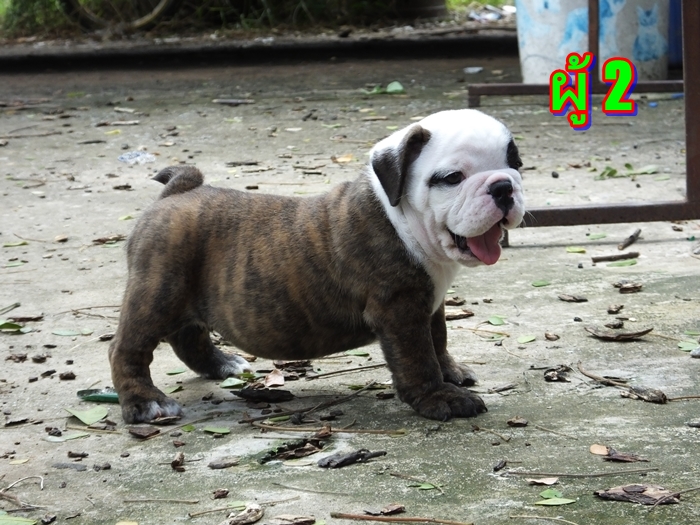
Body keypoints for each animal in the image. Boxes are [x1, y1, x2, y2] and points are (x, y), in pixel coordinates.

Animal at [109, 109, 525, 423]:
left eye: (516, 164)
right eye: (452, 178)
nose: (504, 186)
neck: (403, 220)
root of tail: (176, 193)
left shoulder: (430, 305)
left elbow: (438, 339)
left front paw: (451, 372)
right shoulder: (400, 309)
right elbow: (418, 358)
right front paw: (440, 397)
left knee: (187, 336)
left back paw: (221, 364)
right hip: (156, 292)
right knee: (127, 348)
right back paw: (144, 401)